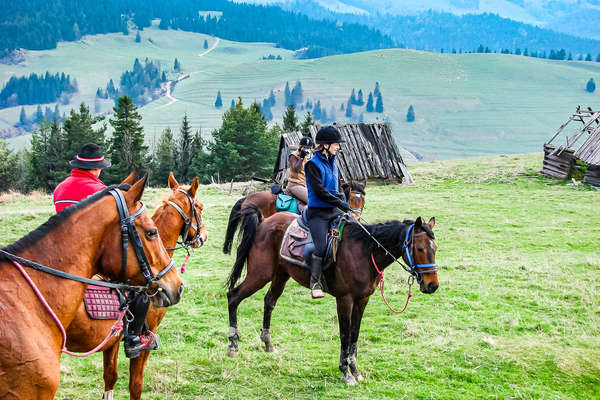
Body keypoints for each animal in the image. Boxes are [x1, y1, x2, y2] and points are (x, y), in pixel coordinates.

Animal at [65, 173, 209, 400]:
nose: (203, 236)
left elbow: (110, 377)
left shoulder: (112, 342)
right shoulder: (145, 342)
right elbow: (136, 385)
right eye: (200, 207)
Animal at [226, 206, 440, 384]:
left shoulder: (362, 300)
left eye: (435, 248)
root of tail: (264, 221)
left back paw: (268, 344)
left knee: (269, 301)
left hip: (280, 274)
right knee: (233, 296)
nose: (432, 285)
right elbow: (345, 334)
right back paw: (233, 345)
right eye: (419, 248)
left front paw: (355, 370)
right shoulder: (345, 299)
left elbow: (354, 334)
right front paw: (345, 372)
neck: (364, 252)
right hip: (260, 274)